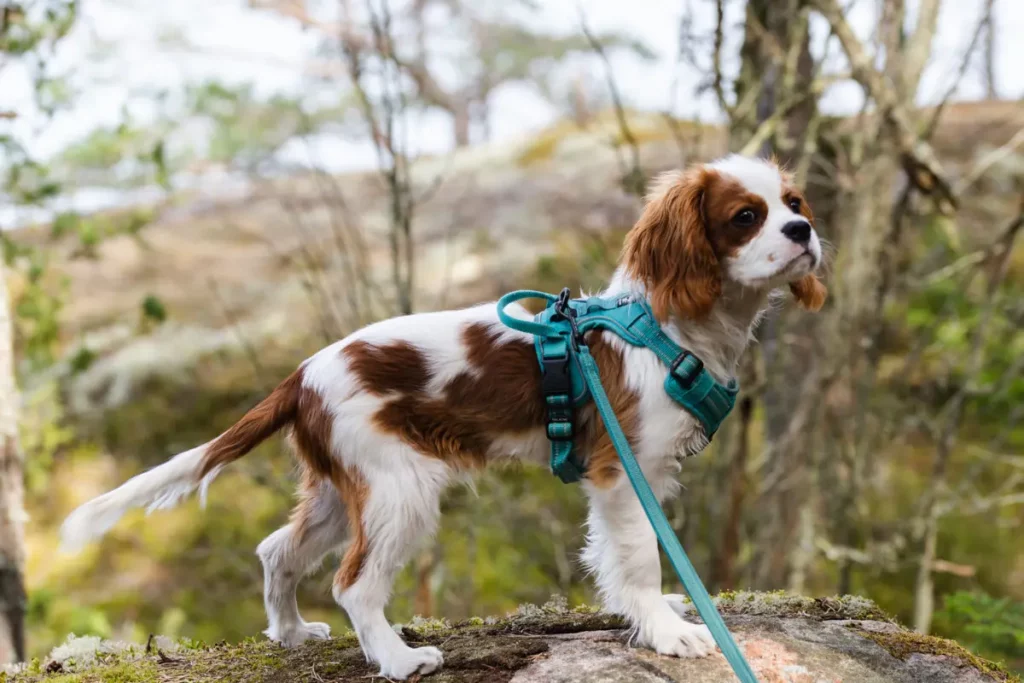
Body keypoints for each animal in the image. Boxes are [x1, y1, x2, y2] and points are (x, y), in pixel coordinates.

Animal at [61, 154, 823, 683]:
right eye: (746, 216)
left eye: (793, 203)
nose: (805, 230)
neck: (669, 326)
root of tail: (300, 375)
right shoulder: (622, 470)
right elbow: (639, 556)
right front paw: (668, 632)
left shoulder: (645, 474)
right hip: (400, 490)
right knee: (352, 583)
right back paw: (399, 660)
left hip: (347, 488)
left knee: (277, 550)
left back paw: (292, 633)